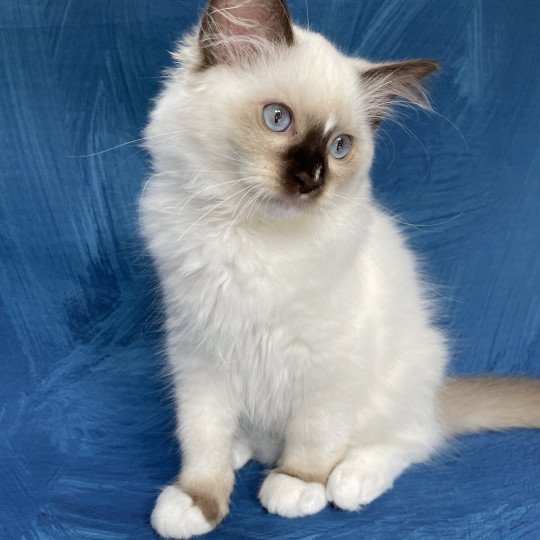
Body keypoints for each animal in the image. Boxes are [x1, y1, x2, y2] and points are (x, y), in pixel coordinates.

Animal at [140, 1, 540, 540]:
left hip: (404, 377)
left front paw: (297, 486)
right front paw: (197, 501)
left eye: (339, 148)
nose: (311, 179)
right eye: (277, 119)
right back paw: (244, 450)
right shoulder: (199, 357)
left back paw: (349, 481)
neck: (251, 239)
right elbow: (202, 440)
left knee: (413, 440)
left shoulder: (327, 363)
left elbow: (314, 436)